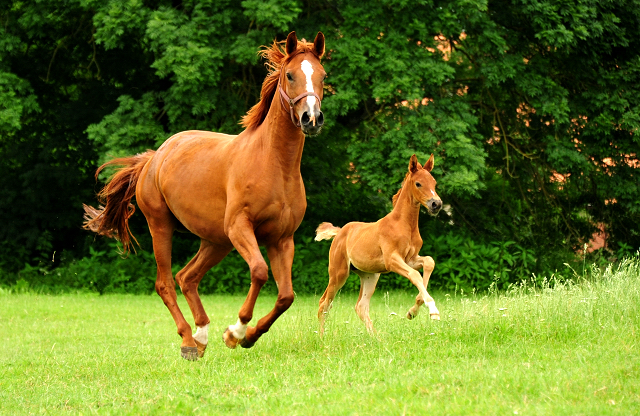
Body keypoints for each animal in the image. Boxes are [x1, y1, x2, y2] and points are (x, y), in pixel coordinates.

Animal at [84, 31, 324, 360]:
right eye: (290, 75)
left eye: (323, 76)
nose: (311, 118)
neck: (274, 164)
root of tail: (154, 157)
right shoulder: (240, 227)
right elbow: (259, 271)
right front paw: (235, 331)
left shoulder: (281, 239)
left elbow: (286, 295)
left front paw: (247, 337)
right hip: (162, 226)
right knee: (165, 283)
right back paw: (188, 340)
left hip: (215, 241)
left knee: (187, 277)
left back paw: (201, 334)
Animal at [314, 154, 440, 336]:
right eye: (418, 183)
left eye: (434, 183)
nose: (436, 204)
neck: (403, 225)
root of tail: (340, 232)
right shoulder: (392, 260)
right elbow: (415, 275)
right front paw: (433, 311)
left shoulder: (410, 259)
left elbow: (429, 262)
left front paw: (412, 312)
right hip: (338, 273)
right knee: (324, 303)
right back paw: (322, 337)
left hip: (370, 275)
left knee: (361, 306)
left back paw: (376, 338)